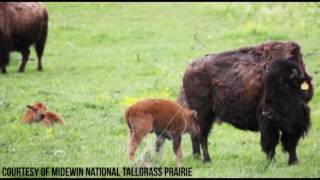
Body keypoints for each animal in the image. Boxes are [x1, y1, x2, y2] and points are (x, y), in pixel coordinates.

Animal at [179, 40, 314, 165]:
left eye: (284, 86)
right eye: (266, 85)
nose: (268, 113)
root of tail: (189, 69)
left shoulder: (297, 120)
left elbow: (291, 142)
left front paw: (294, 162)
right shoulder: (267, 123)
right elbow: (271, 143)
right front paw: (272, 163)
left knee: (196, 136)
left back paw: (197, 158)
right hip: (203, 114)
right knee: (202, 136)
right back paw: (207, 160)